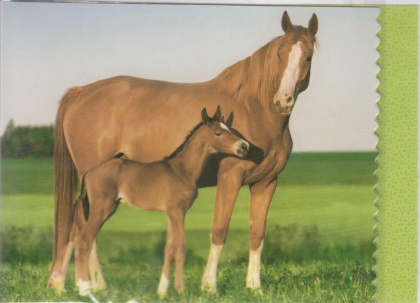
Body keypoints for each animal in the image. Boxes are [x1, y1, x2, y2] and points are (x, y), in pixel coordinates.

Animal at [70, 105, 248, 296]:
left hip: (107, 209)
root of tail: (90, 173)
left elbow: (170, 248)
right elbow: (180, 248)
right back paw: (84, 289)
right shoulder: (178, 212)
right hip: (101, 209)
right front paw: (181, 290)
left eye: (229, 129)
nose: (244, 146)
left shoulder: (171, 213)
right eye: (218, 133)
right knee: (83, 240)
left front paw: (163, 291)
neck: (182, 170)